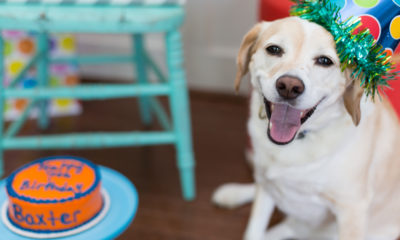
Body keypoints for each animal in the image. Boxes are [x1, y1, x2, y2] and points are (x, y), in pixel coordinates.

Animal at [214, 16, 400, 240]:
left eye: (325, 61)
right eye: (274, 49)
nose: (289, 86)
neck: (300, 140)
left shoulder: (351, 210)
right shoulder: (267, 188)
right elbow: (253, 230)